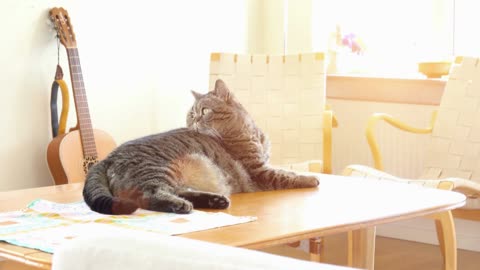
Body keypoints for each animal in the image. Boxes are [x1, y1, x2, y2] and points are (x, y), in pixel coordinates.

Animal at [83, 78, 318, 215]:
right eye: (192, 114)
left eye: (204, 111)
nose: (194, 120)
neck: (246, 131)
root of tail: (106, 158)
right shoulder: (260, 170)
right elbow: (286, 175)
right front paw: (310, 178)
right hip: (157, 170)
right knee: (149, 196)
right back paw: (181, 205)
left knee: (178, 191)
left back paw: (215, 201)